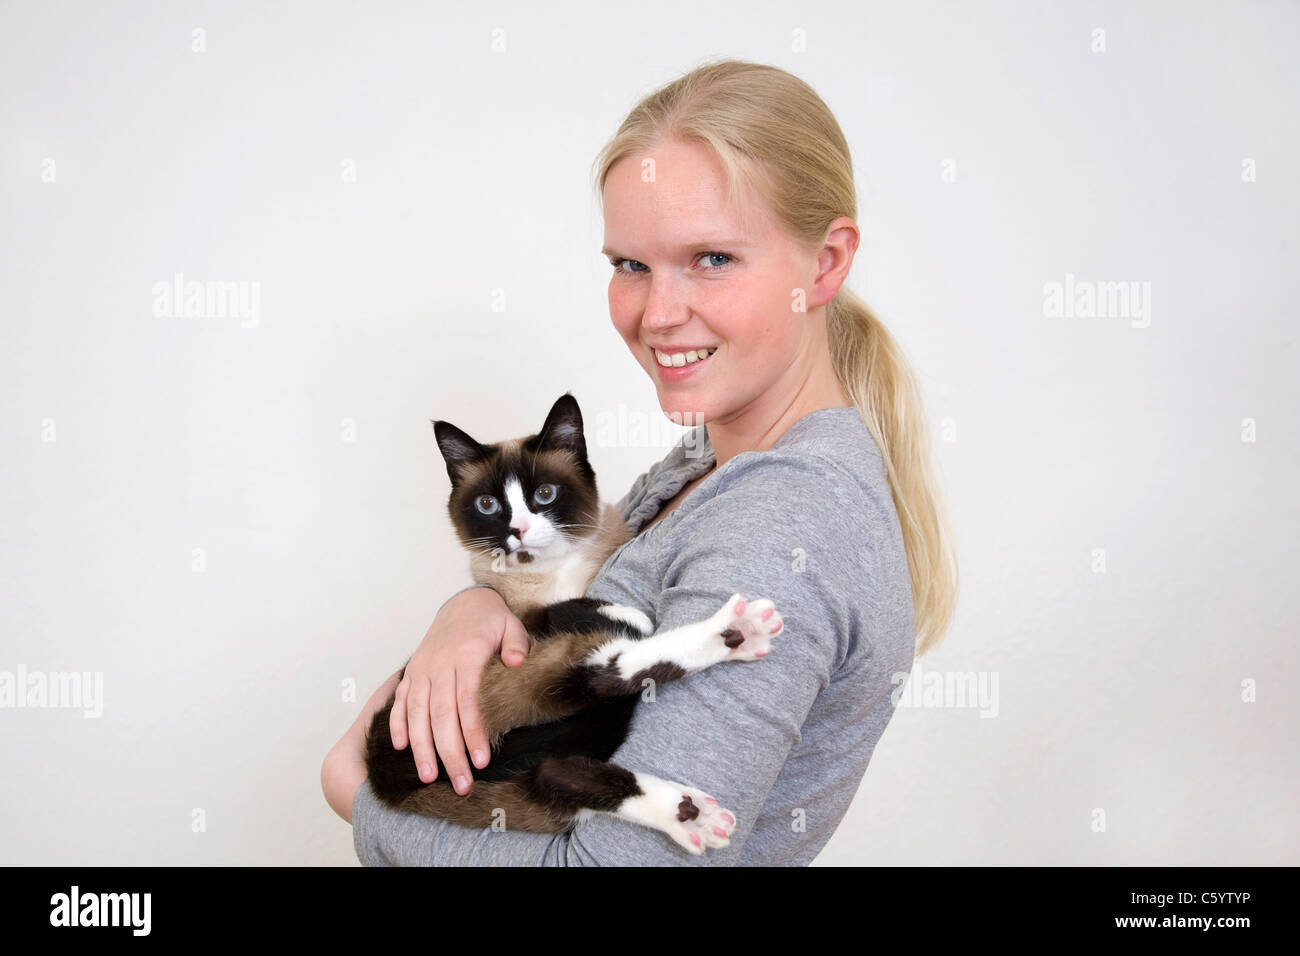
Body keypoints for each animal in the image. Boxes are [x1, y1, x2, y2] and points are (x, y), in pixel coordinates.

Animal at [369, 392, 790, 858]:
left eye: (545, 494)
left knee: (558, 771)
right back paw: (738, 633)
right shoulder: (525, 618)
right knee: (602, 678)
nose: (517, 530)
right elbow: (610, 616)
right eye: (488, 505)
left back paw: (691, 813)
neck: (552, 576)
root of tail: (384, 774)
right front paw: (628, 616)